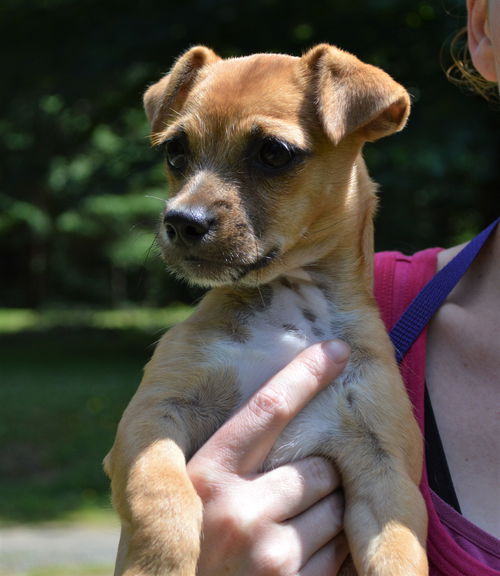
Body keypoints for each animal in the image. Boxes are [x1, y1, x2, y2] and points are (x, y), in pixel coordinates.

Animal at [103, 42, 428, 572]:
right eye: (175, 152)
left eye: (274, 153)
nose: (181, 221)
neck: (287, 304)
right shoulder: (151, 416)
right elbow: (161, 493)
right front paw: (159, 564)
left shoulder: (387, 477)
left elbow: (398, 556)